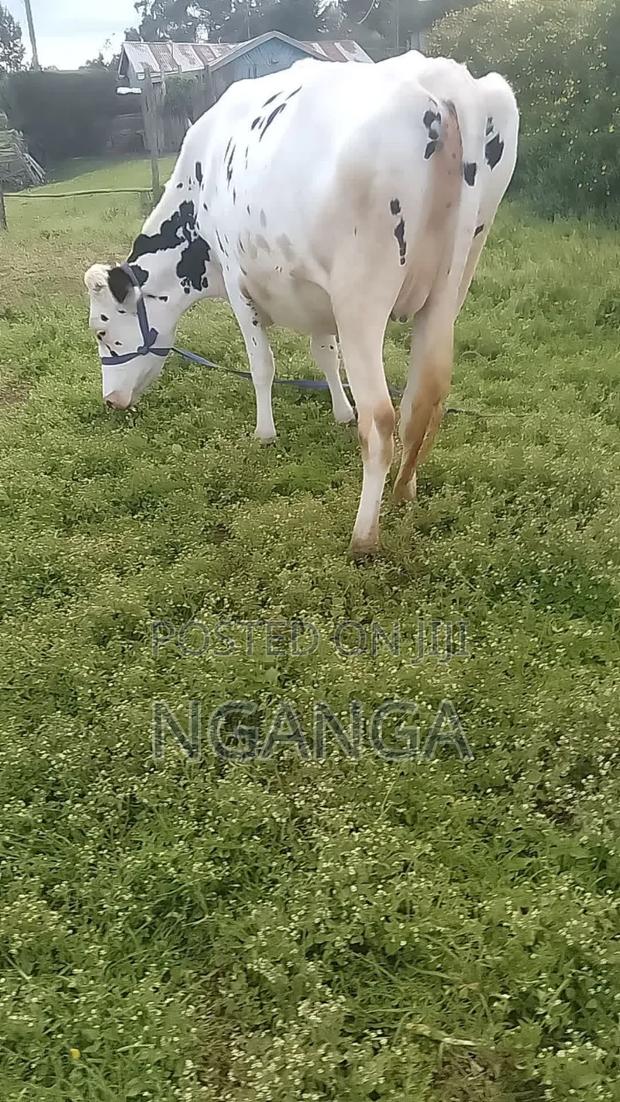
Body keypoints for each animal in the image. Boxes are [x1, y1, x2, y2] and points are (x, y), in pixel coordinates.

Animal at [85, 51, 518, 556]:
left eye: (101, 329)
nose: (110, 401)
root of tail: (444, 83)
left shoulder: (238, 282)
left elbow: (262, 366)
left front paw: (265, 433)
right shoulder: (316, 292)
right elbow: (324, 354)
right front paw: (340, 412)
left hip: (361, 300)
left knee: (381, 418)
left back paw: (364, 536)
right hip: (452, 285)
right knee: (423, 399)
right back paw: (404, 494)